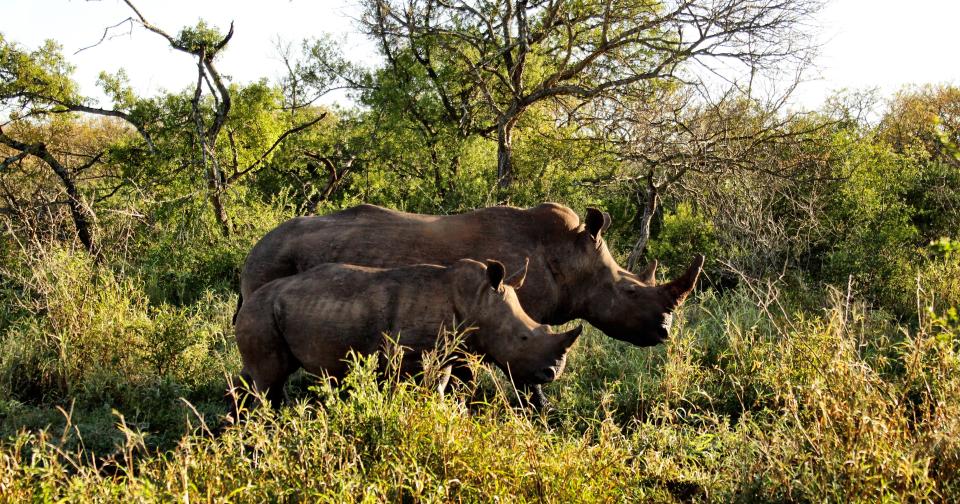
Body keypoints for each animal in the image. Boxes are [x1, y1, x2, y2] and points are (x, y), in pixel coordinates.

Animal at [234, 258, 576, 408]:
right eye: (523, 338)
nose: (552, 373)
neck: (477, 299)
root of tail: (245, 301)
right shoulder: (415, 358)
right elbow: (428, 390)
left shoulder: (446, 353)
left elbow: (441, 388)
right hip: (260, 313)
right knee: (269, 381)